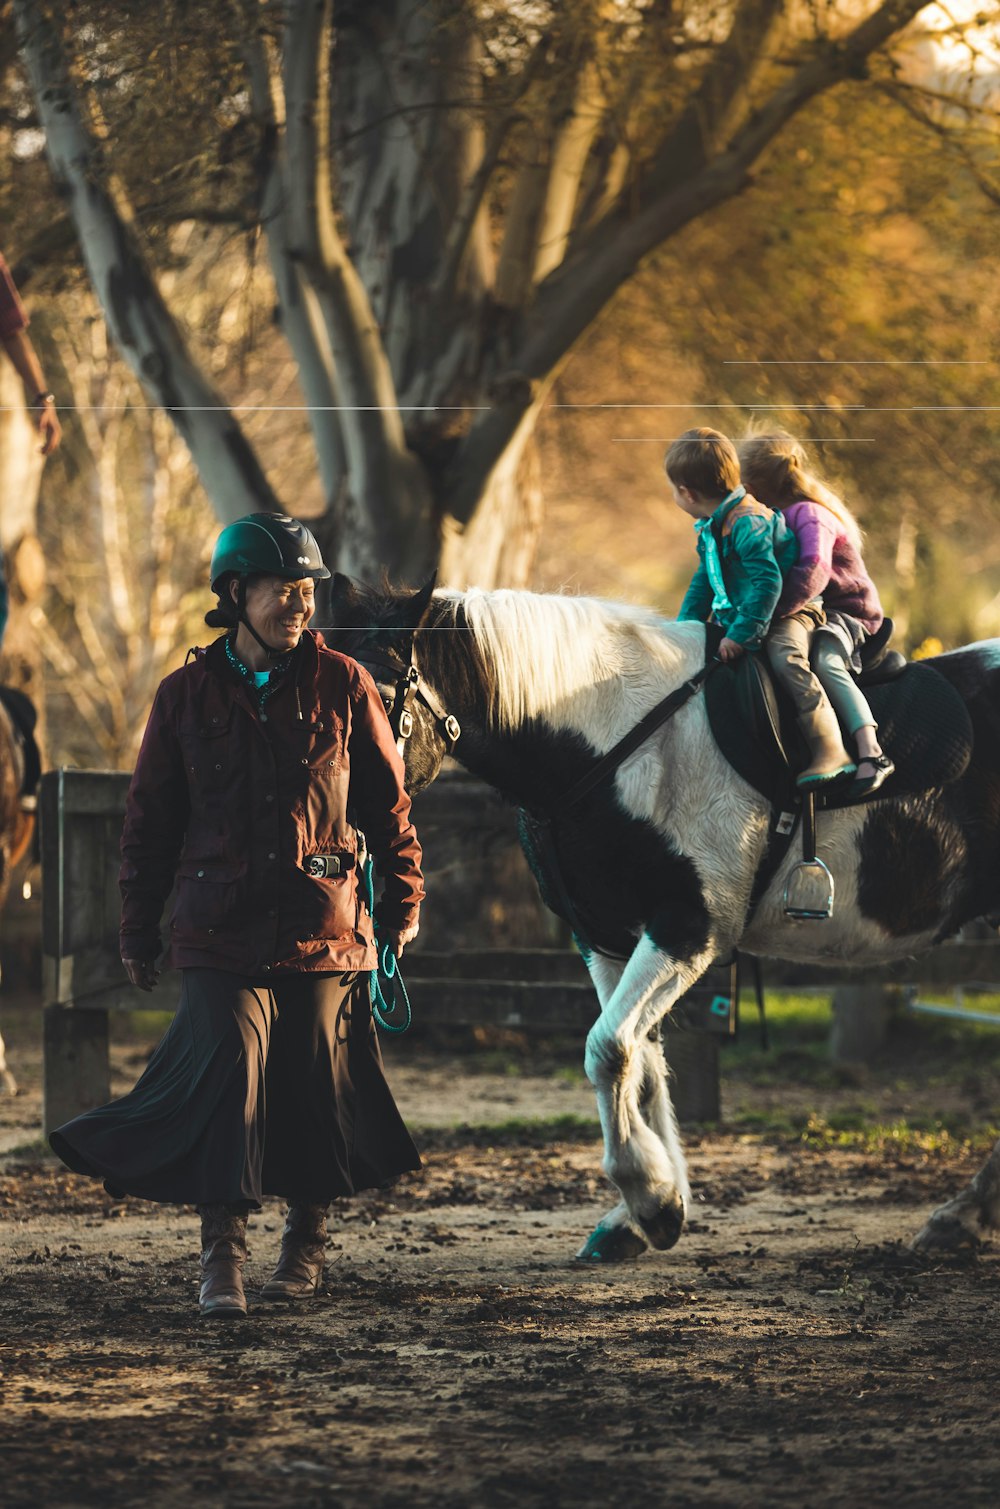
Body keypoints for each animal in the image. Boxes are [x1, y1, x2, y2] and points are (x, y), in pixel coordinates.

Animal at [334, 576, 1000, 1261]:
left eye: (379, 695)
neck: (622, 742)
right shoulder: (604, 938)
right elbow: (644, 1062)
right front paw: (652, 1204)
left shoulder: (688, 930)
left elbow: (608, 1049)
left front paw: (650, 1198)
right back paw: (963, 1216)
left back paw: (961, 1216)